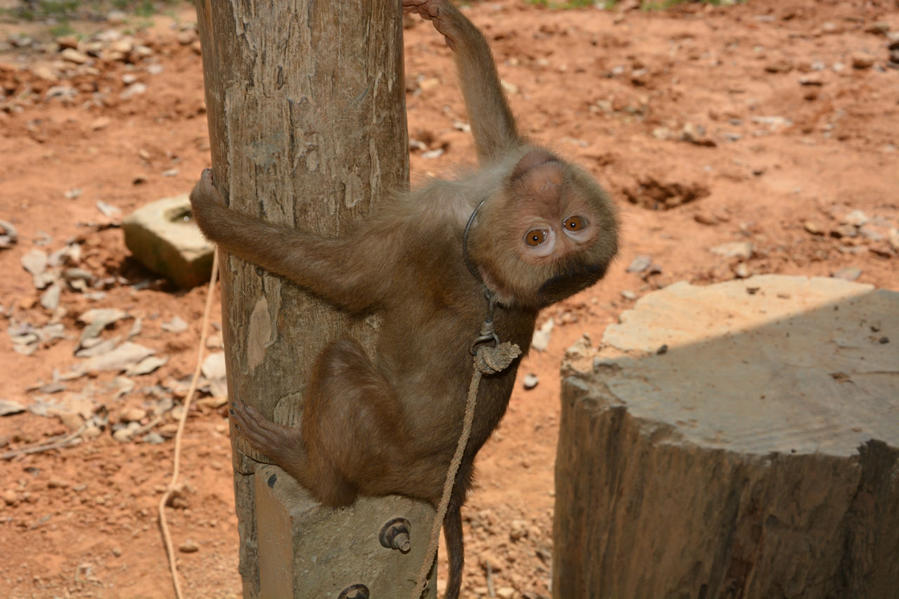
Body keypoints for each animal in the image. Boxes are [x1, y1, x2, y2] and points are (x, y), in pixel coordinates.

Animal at [190, 1, 620, 596]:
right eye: (556, 231)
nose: (554, 200)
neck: (475, 237)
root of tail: (446, 484)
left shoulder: (423, 237)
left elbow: (348, 281)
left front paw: (213, 219)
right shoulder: (501, 178)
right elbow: (496, 136)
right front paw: (450, 21)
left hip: (382, 453)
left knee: (340, 369)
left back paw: (310, 469)